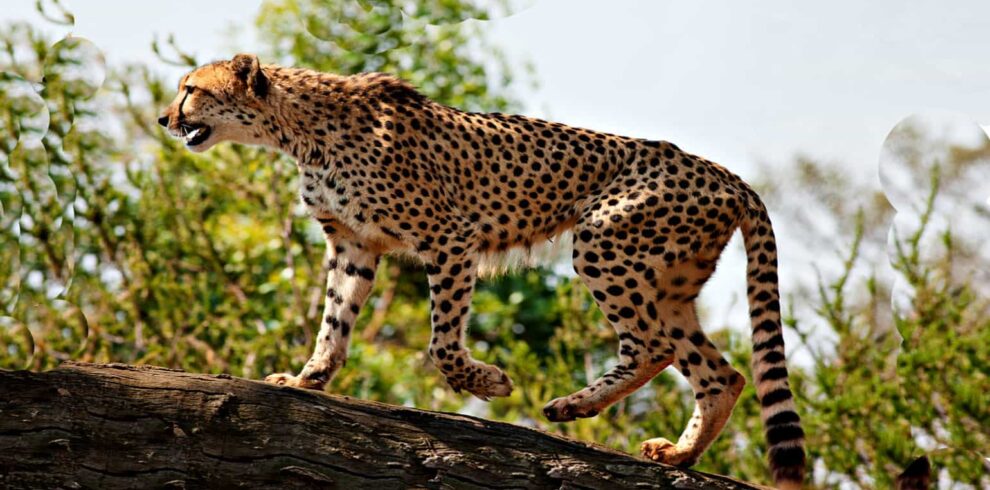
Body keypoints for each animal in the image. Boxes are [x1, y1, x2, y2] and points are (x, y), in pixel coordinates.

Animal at [159, 54, 806, 488]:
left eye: (191, 88)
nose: (165, 118)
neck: (298, 129)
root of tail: (725, 174)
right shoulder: (353, 244)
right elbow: (333, 323)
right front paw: (306, 380)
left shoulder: (450, 237)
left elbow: (442, 342)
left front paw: (487, 382)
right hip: (667, 283)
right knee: (721, 374)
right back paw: (676, 455)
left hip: (602, 244)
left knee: (653, 346)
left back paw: (574, 407)